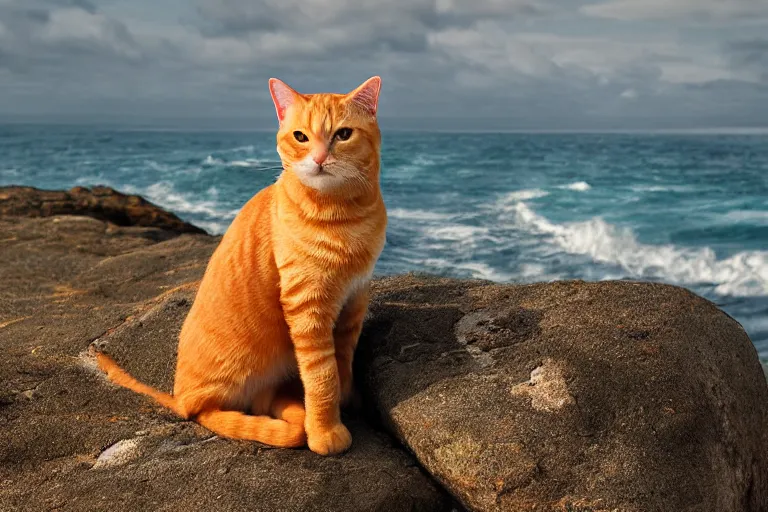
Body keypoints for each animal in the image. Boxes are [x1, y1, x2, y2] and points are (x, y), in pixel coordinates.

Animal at [96, 77, 384, 456]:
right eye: (301, 137)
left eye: (344, 134)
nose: (320, 158)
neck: (345, 211)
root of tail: (178, 395)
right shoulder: (306, 307)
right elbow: (322, 375)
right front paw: (325, 429)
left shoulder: (355, 298)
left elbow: (343, 360)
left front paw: (347, 398)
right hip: (222, 385)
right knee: (207, 412)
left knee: (264, 402)